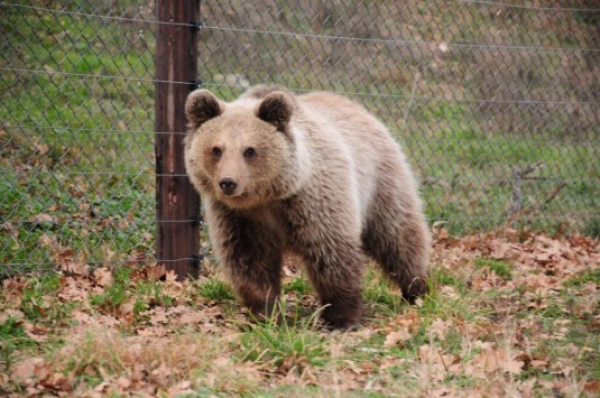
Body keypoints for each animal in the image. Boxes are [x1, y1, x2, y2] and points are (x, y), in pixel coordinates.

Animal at [184, 86, 432, 330]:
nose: (228, 182)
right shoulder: (238, 217)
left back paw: (416, 290)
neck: (267, 198)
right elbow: (249, 262)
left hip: (381, 184)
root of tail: (359, 108)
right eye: (216, 149)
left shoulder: (312, 201)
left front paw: (340, 319)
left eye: (250, 150)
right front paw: (265, 315)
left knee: (398, 237)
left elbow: (331, 253)